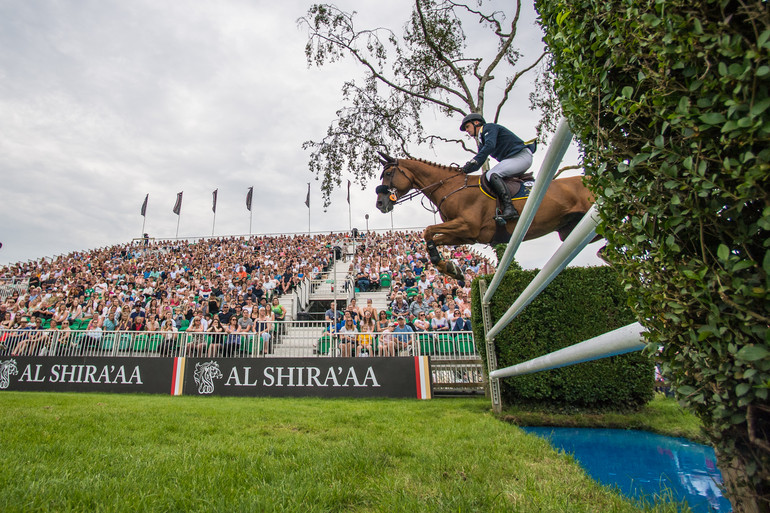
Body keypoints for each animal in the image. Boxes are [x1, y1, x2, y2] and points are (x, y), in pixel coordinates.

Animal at [372, 153, 592, 278]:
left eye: (388, 173)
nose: (380, 203)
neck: (451, 187)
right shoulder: (465, 235)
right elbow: (432, 239)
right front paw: (450, 268)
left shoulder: (467, 226)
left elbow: (427, 231)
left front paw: (446, 265)